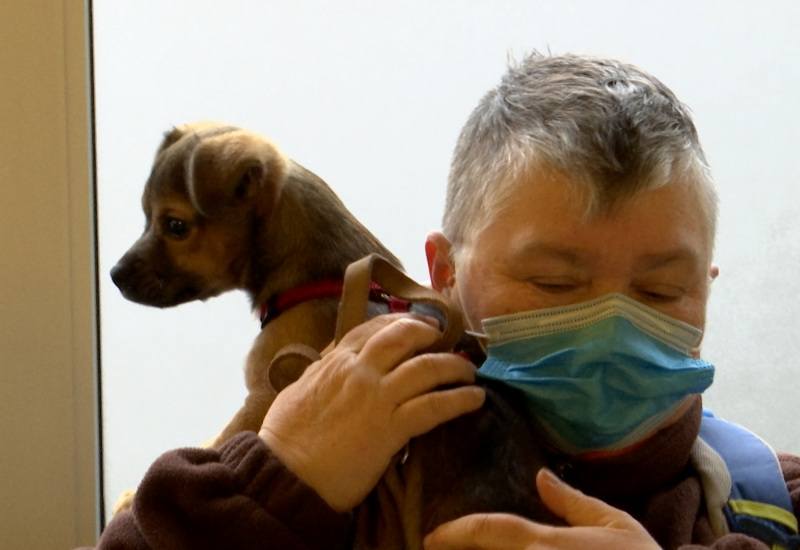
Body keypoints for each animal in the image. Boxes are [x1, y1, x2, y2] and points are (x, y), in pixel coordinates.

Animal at [109, 123, 404, 516]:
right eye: (145, 217)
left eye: (175, 225)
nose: (114, 275)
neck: (314, 280)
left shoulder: (262, 396)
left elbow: (221, 442)